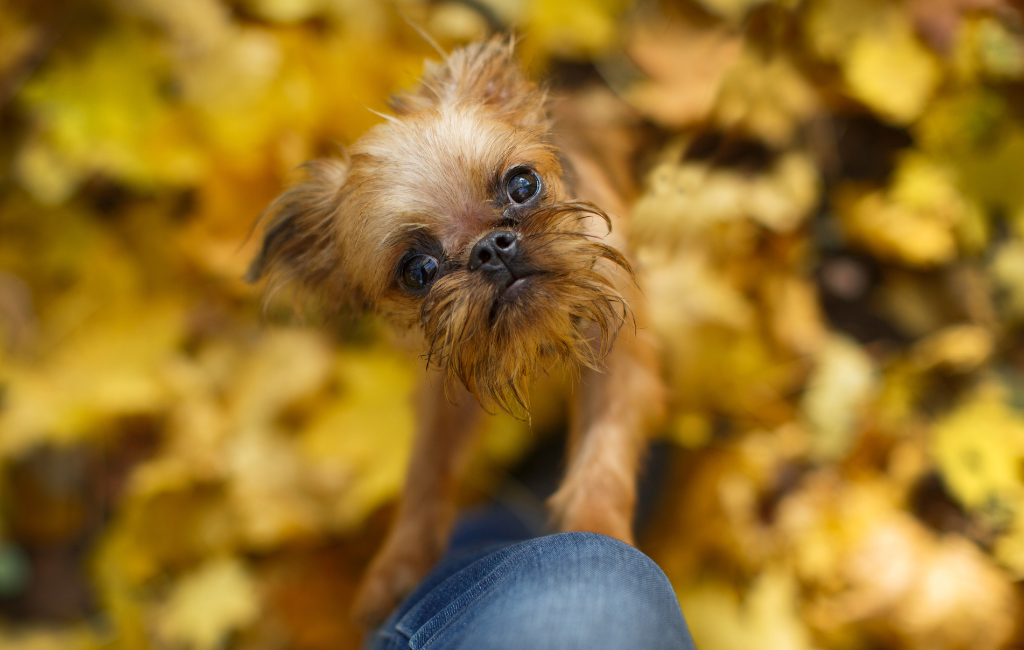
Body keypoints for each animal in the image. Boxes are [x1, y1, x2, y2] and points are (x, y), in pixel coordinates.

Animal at [245, 35, 663, 626]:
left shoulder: (619, 352)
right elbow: (426, 469)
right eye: (418, 271)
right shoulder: (449, 389)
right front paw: (399, 566)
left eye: (522, 184)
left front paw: (597, 527)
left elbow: (603, 452)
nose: (490, 248)